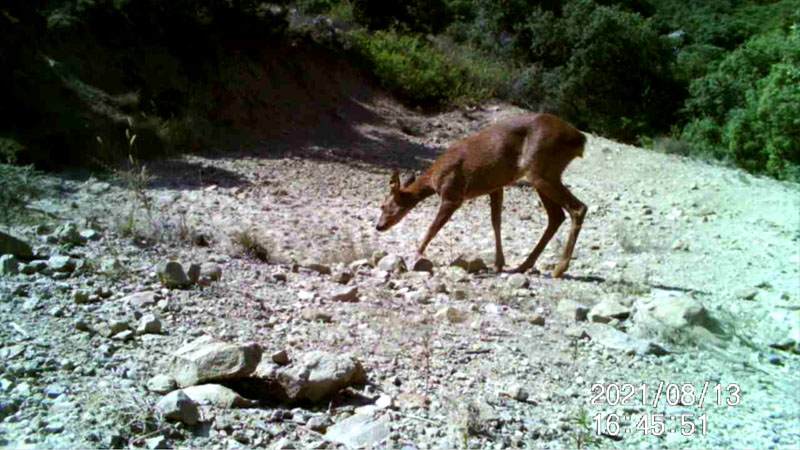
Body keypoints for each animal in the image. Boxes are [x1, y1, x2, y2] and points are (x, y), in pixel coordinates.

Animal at [376, 112, 588, 278]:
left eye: (383, 205)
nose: (379, 226)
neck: (434, 178)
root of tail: (580, 139)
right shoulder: (495, 187)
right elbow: (496, 222)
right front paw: (498, 264)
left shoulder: (452, 194)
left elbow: (433, 227)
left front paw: (415, 255)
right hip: (544, 173)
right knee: (556, 216)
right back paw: (523, 266)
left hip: (540, 170)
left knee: (578, 208)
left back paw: (559, 269)